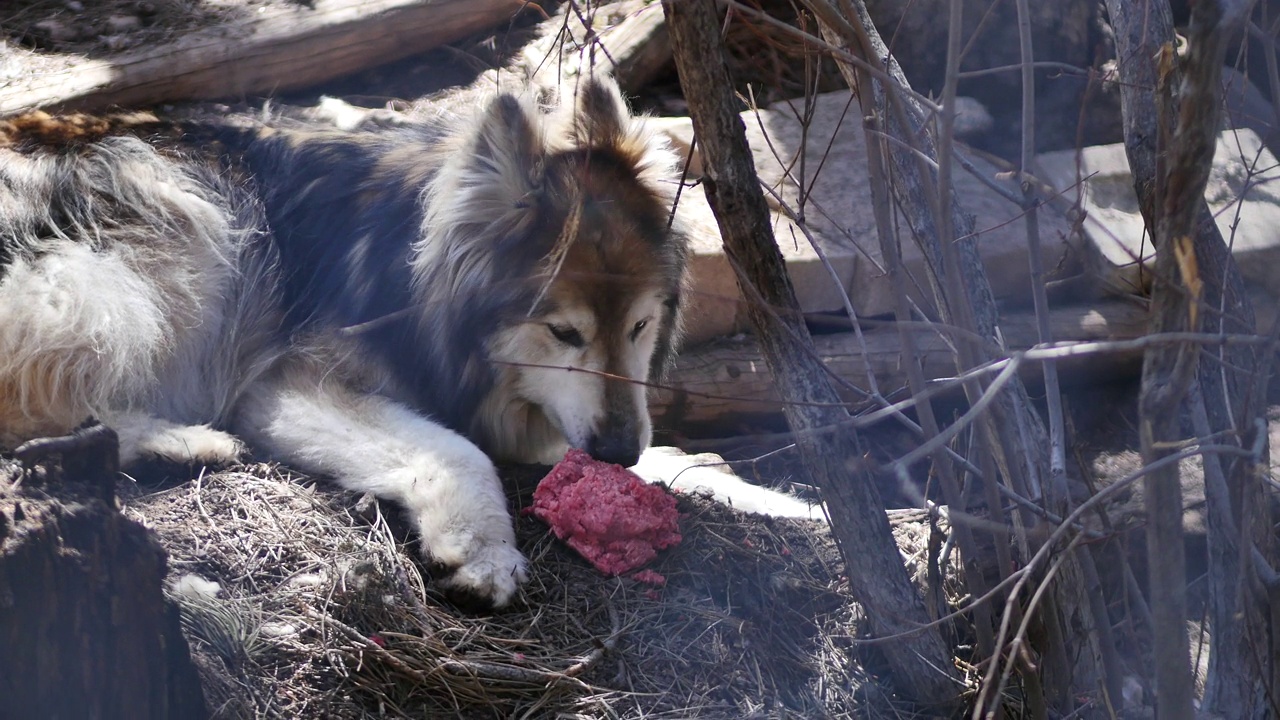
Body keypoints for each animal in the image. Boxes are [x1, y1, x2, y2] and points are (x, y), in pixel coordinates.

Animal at [0, 77, 691, 604]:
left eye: (639, 326)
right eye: (564, 332)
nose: (621, 453)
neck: (408, 259)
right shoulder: (284, 383)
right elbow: (459, 450)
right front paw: (483, 550)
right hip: (168, 240)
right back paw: (177, 440)